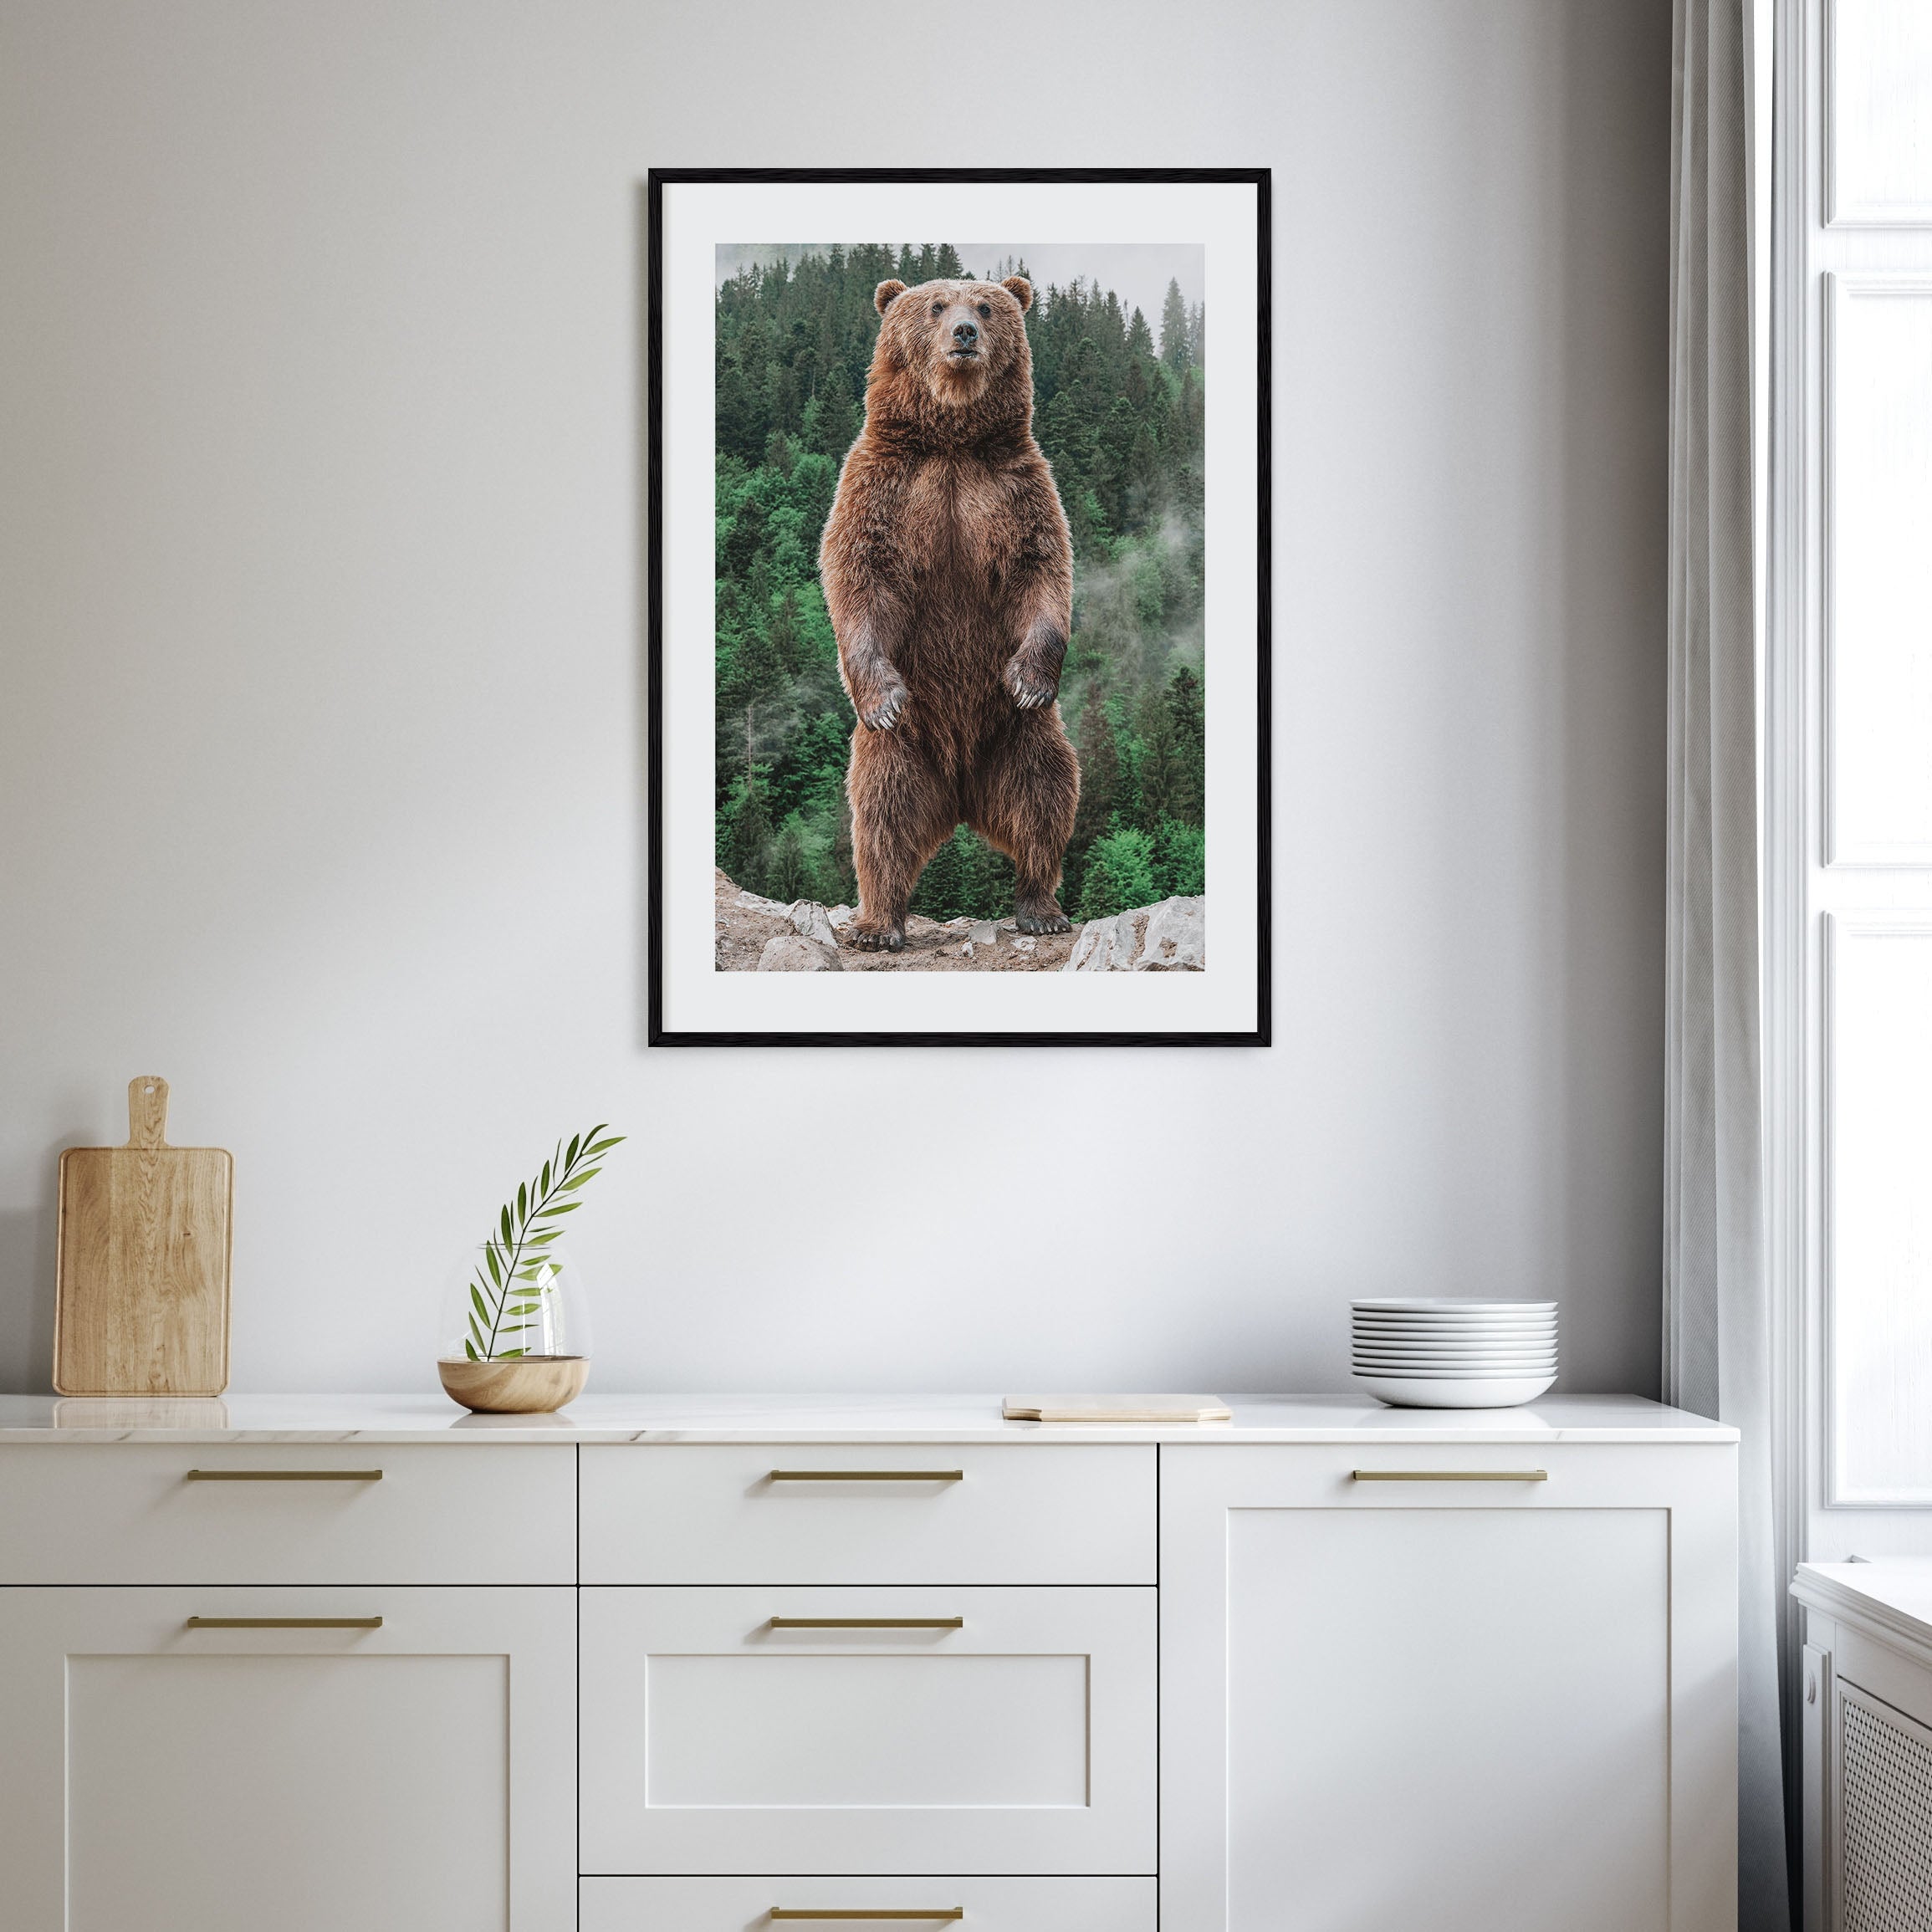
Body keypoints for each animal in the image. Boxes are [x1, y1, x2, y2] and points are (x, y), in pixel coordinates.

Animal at [818, 272, 1081, 952]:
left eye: (985, 306)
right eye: (936, 305)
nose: (963, 333)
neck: (952, 441)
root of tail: (961, 794)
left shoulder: (1016, 488)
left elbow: (1042, 572)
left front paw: (1030, 678)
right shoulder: (884, 486)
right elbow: (858, 574)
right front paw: (882, 696)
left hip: (1016, 736)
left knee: (1045, 794)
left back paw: (1040, 907)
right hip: (905, 749)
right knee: (881, 815)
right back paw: (878, 924)